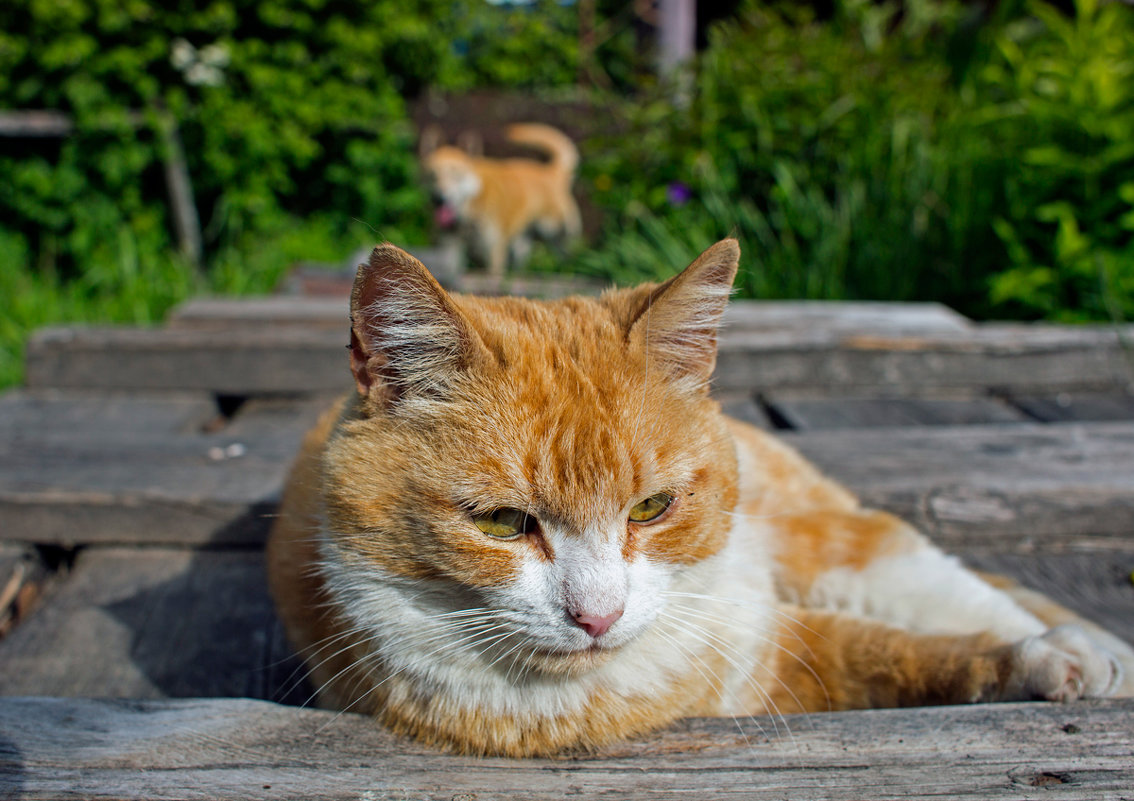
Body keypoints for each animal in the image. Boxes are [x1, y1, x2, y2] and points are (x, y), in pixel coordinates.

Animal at [267, 238, 1134, 753]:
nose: (598, 616)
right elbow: (886, 657)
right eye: (504, 521)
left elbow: (913, 645)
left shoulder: (769, 634)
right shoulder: (783, 668)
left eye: (651, 507)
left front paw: (1044, 658)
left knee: (959, 587)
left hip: (836, 539)